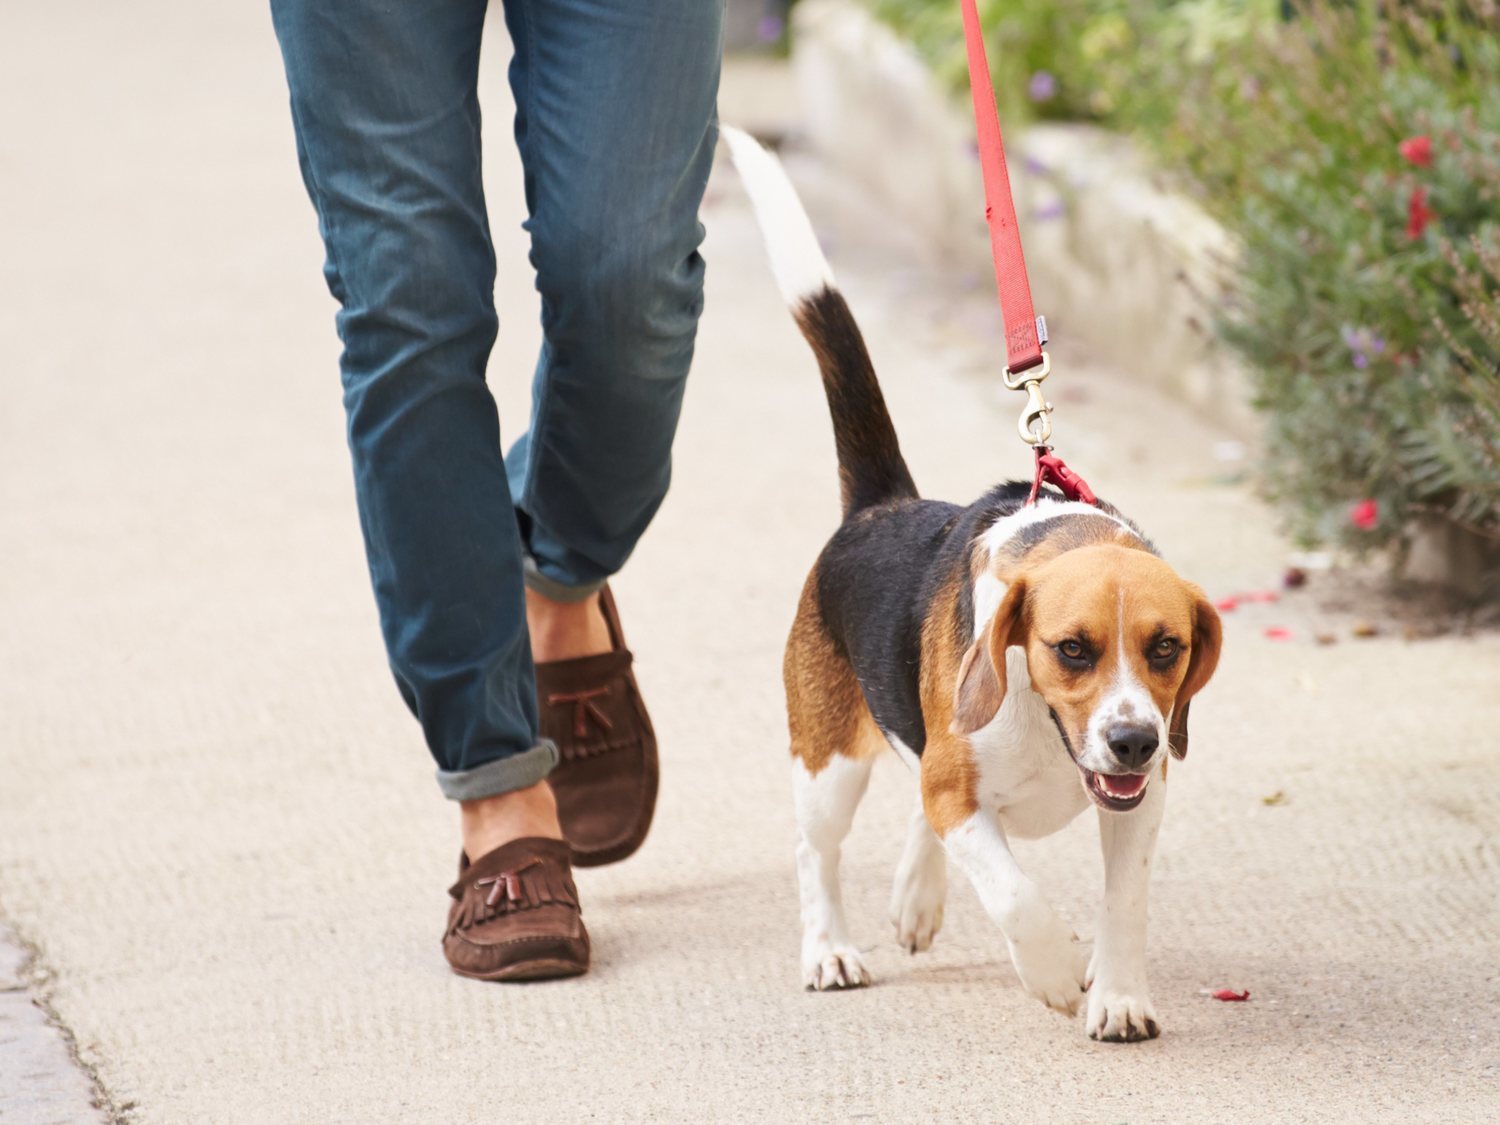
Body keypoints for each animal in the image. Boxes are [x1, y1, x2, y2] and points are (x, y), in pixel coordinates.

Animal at [720, 129, 1224, 1050]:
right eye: (1072, 649)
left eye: (1167, 647)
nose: (1135, 740)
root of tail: (882, 503)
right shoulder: (962, 797)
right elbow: (1017, 894)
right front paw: (1055, 971)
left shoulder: (1139, 802)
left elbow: (1124, 903)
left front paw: (1118, 995)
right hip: (828, 765)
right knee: (818, 849)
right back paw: (829, 948)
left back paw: (917, 898)